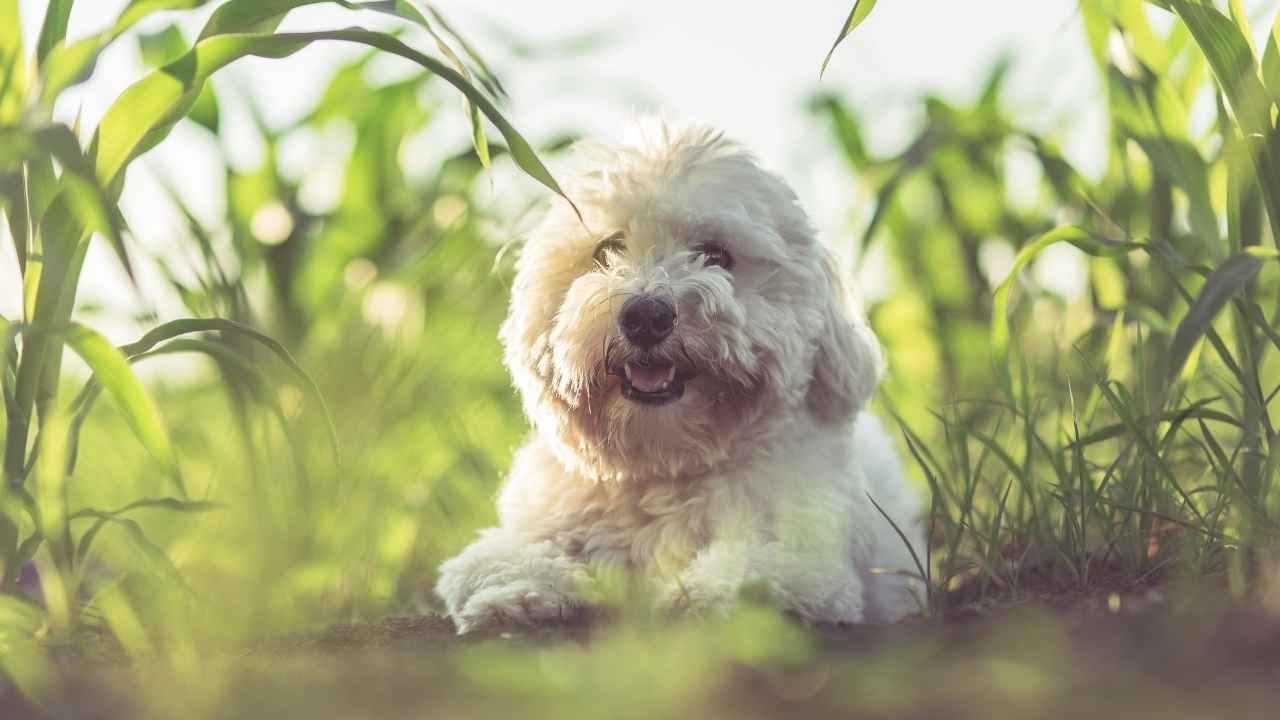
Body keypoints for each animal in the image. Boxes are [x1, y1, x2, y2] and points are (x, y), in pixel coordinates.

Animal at [435, 120, 926, 630]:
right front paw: (517, 592)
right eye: (607, 250)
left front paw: (703, 596)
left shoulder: (805, 558)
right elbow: (501, 557)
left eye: (716, 254)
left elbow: (753, 572)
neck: (665, 464)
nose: (646, 316)